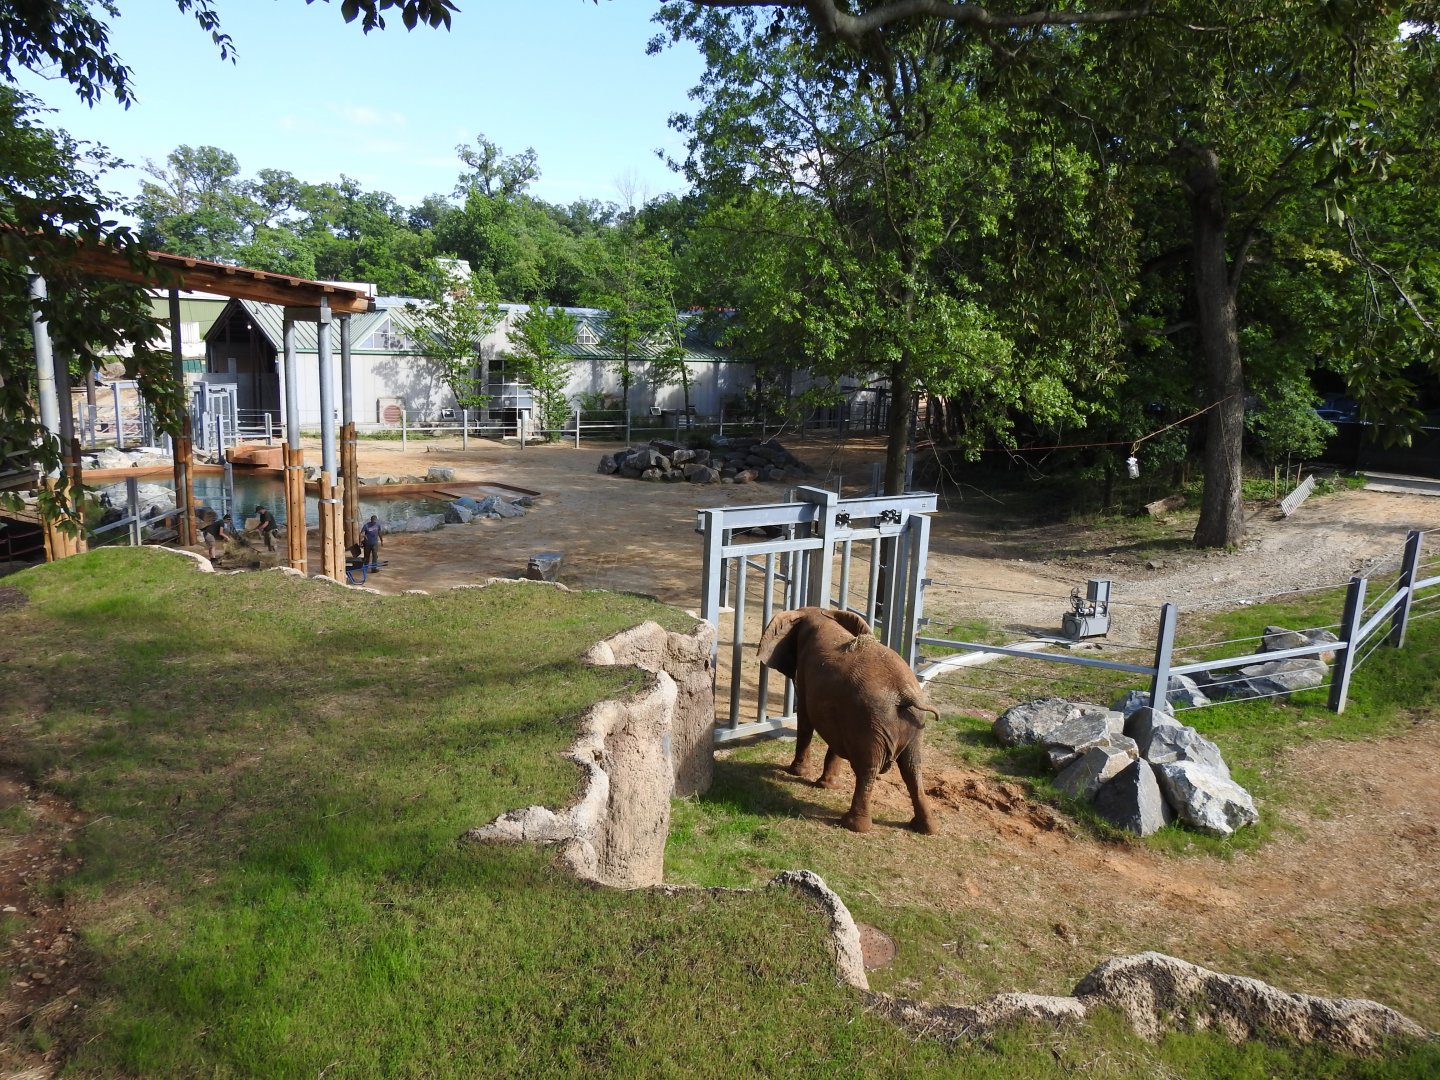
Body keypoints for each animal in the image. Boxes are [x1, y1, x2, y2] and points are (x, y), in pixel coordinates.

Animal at [757, 606, 939, 834]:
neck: (820, 614)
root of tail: (905, 693)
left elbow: (805, 720)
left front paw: (798, 773)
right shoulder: (843, 709)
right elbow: (835, 737)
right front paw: (827, 785)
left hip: (870, 722)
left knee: (867, 769)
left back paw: (853, 825)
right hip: (910, 724)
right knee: (913, 768)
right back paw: (926, 827)